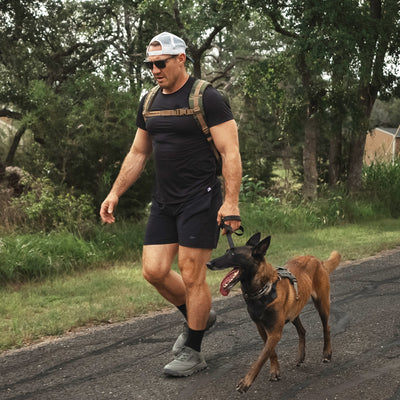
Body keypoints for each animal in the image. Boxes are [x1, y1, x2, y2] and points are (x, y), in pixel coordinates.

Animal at [206, 233, 340, 392]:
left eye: (232, 253)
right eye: (227, 251)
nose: (208, 263)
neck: (262, 290)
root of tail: (317, 259)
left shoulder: (275, 332)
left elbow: (261, 357)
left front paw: (246, 382)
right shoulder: (262, 329)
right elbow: (270, 353)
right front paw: (275, 370)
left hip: (322, 304)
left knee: (326, 328)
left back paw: (327, 352)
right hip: (294, 313)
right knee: (302, 331)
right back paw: (301, 356)